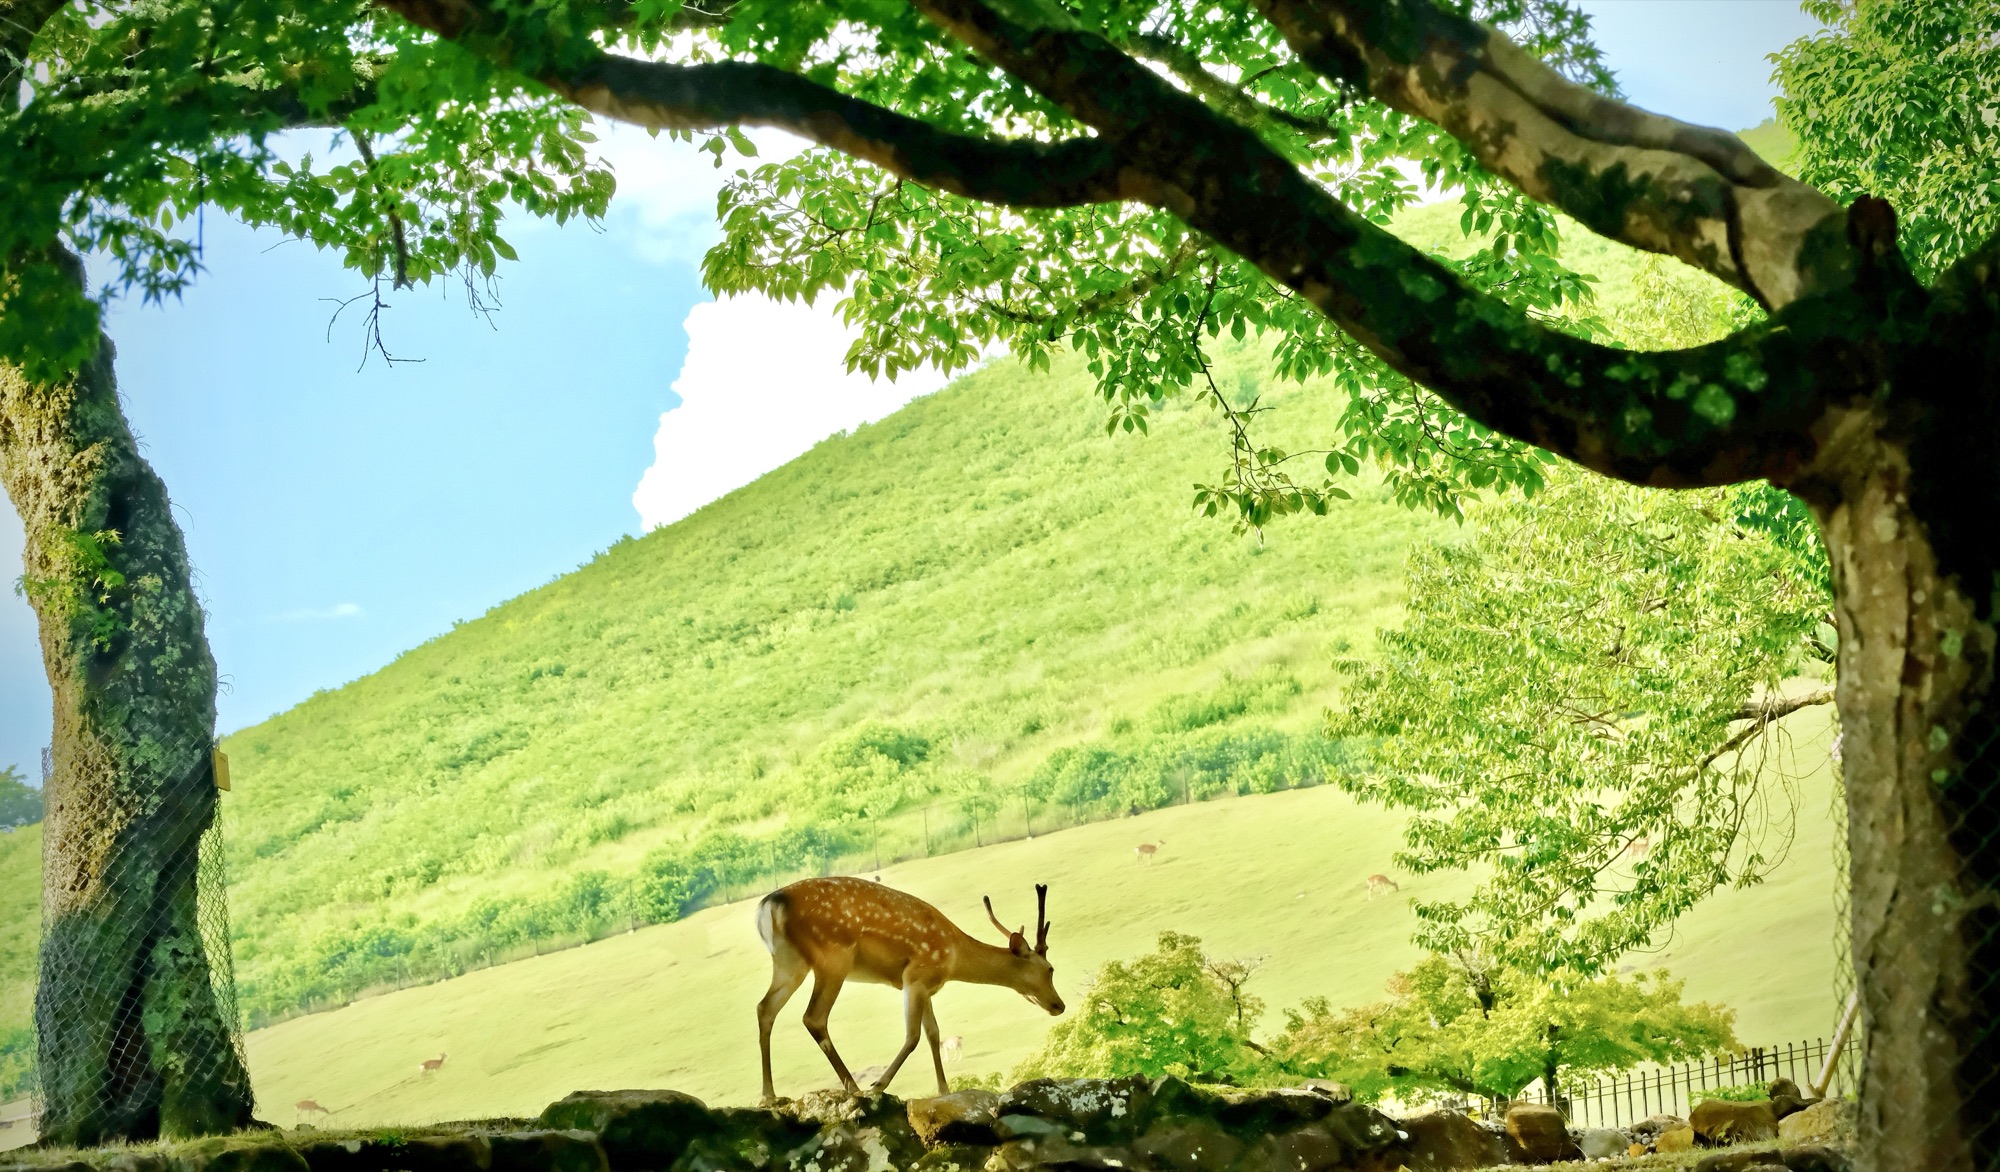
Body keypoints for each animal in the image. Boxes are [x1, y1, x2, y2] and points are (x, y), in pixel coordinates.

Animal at [755, 876, 1063, 1103]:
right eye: (1050, 969)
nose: (1059, 1005)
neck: (953, 957)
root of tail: (768, 907)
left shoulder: (927, 986)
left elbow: (933, 1033)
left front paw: (944, 1090)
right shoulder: (915, 976)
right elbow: (913, 1036)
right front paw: (879, 1085)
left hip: (788, 962)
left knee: (764, 1008)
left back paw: (769, 1094)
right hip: (832, 958)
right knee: (813, 1017)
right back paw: (854, 1087)